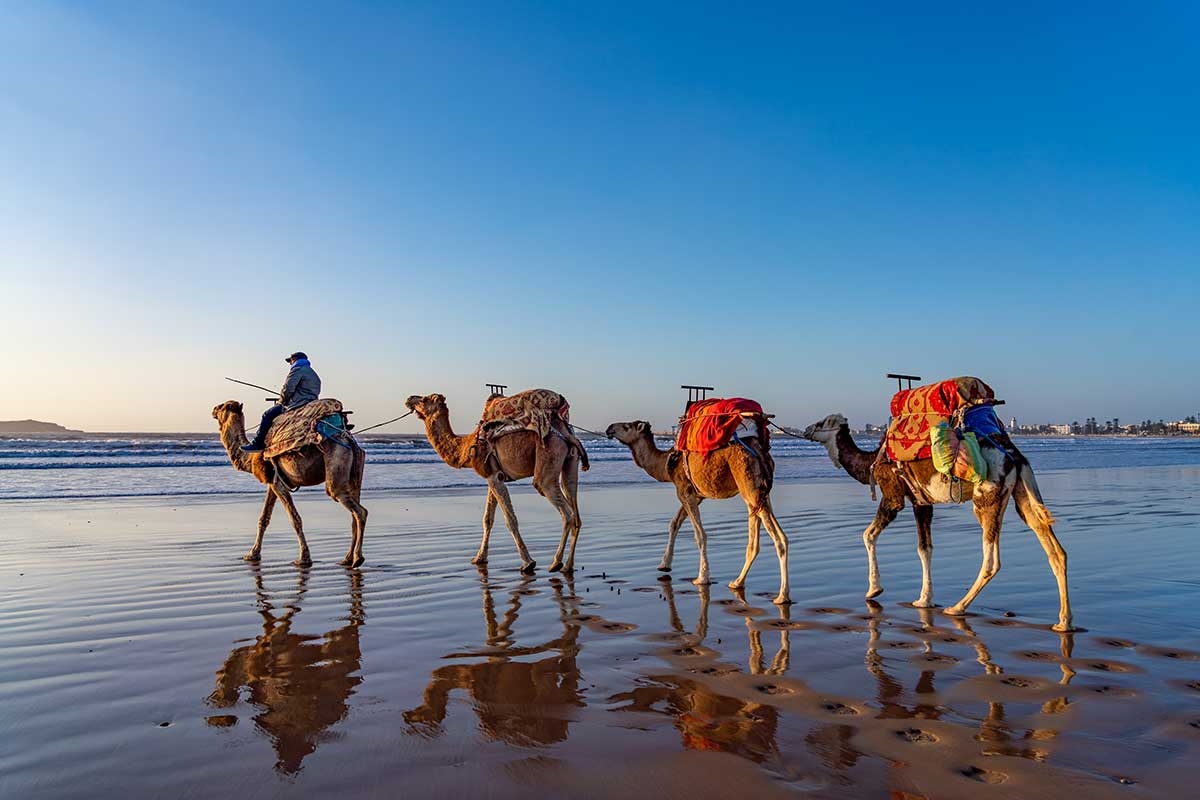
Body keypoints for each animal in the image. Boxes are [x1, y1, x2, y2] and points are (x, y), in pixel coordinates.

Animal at [211, 400, 368, 567]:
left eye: (222, 407)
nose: (213, 409)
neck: (250, 458)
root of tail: (348, 439)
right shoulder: (272, 482)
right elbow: (264, 518)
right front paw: (252, 554)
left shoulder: (277, 483)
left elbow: (295, 519)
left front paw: (304, 558)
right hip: (355, 471)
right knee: (354, 513)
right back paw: (347, 558)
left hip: (337, 458)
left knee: (358, 510)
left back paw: (357, 558)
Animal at [404, 393, 585, 573]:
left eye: (424, 399)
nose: (409, 398)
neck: (467, 447)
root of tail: (566, 432)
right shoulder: (493, 475)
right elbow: (487, 519)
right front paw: (479, 558)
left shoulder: (494, 476)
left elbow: (510, 520)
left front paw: (528, 562)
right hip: (570, 463)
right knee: (575, 511)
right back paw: (568, 566)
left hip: (548, 455)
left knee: (565, 511)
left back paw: (556, 562)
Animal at [604, 420, 791, 605]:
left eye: (626, 426)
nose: (609, 428)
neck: (666, 463)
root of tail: (760, 452)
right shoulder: (695, 495)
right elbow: (674, 523)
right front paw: (664, 564)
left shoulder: (684, 492)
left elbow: (700, 534)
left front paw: (702, 578)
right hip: (758, 493)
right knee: (759, 537)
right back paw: (737, 582)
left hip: (748, 483)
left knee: (778, 539)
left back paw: (782, 596)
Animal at [802, 413, 1072, 631]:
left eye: (823, 422)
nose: (806, 430)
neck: (872, 460)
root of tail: (1014, 457)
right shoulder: (921, 502)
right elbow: (925, 548)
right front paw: (924, 599)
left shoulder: (893, 495)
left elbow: (868, 534)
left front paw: (874, 589)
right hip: (1022, 493)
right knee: (1053, 547)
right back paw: (1063, 622)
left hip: (987, 497)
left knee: (991, 560)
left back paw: (957, 607)